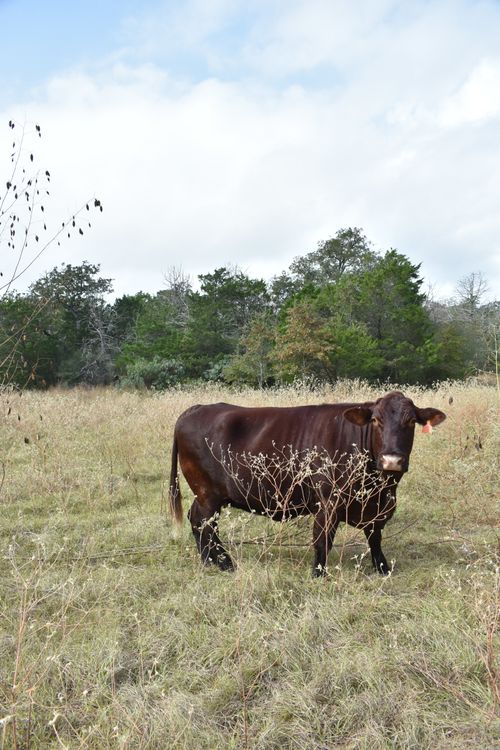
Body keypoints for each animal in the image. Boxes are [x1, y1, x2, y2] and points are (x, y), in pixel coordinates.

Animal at [168, 391, 446, 576]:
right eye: (376, 420)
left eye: (411, 421)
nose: (392, 460)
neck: (378, 488)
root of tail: (196, 409)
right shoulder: (328, 503)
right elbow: (323, 539)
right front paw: (318, 573)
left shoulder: (379, 508)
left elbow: (375, 538)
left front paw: (382, 568)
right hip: (208, 494)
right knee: (203, 523)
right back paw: (222, 563)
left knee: (199, 521)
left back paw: (213, 562)